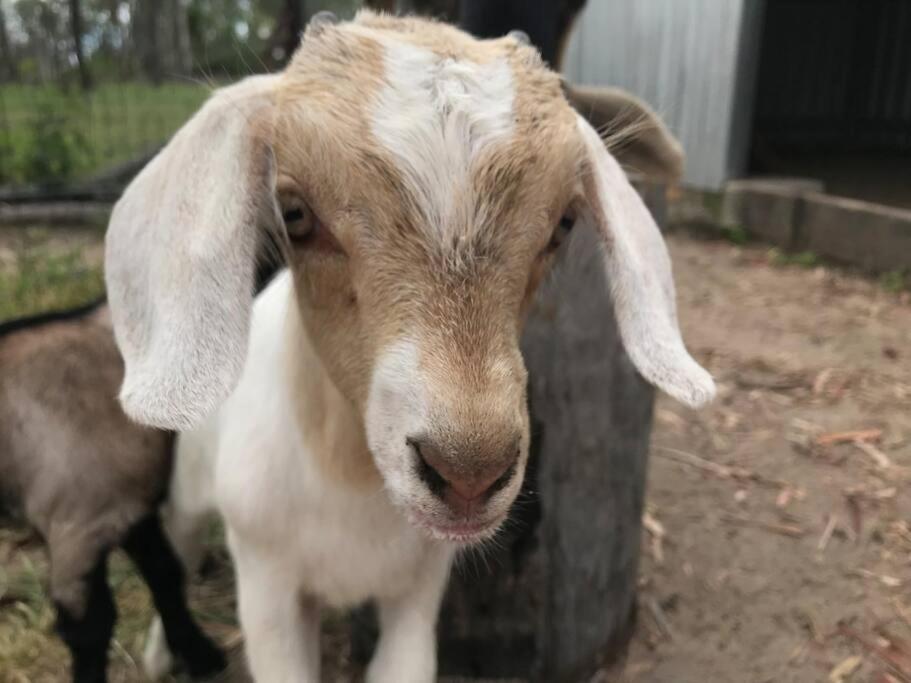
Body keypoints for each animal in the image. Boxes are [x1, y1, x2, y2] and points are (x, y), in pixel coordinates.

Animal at [103, 10, 716, 683]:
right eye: (294, 211)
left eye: (563, 224)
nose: (469, 472)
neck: (347, 480)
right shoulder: (269, 590)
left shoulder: (419, 591)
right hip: (192, 481)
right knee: (180, 544)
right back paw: (159, 653)